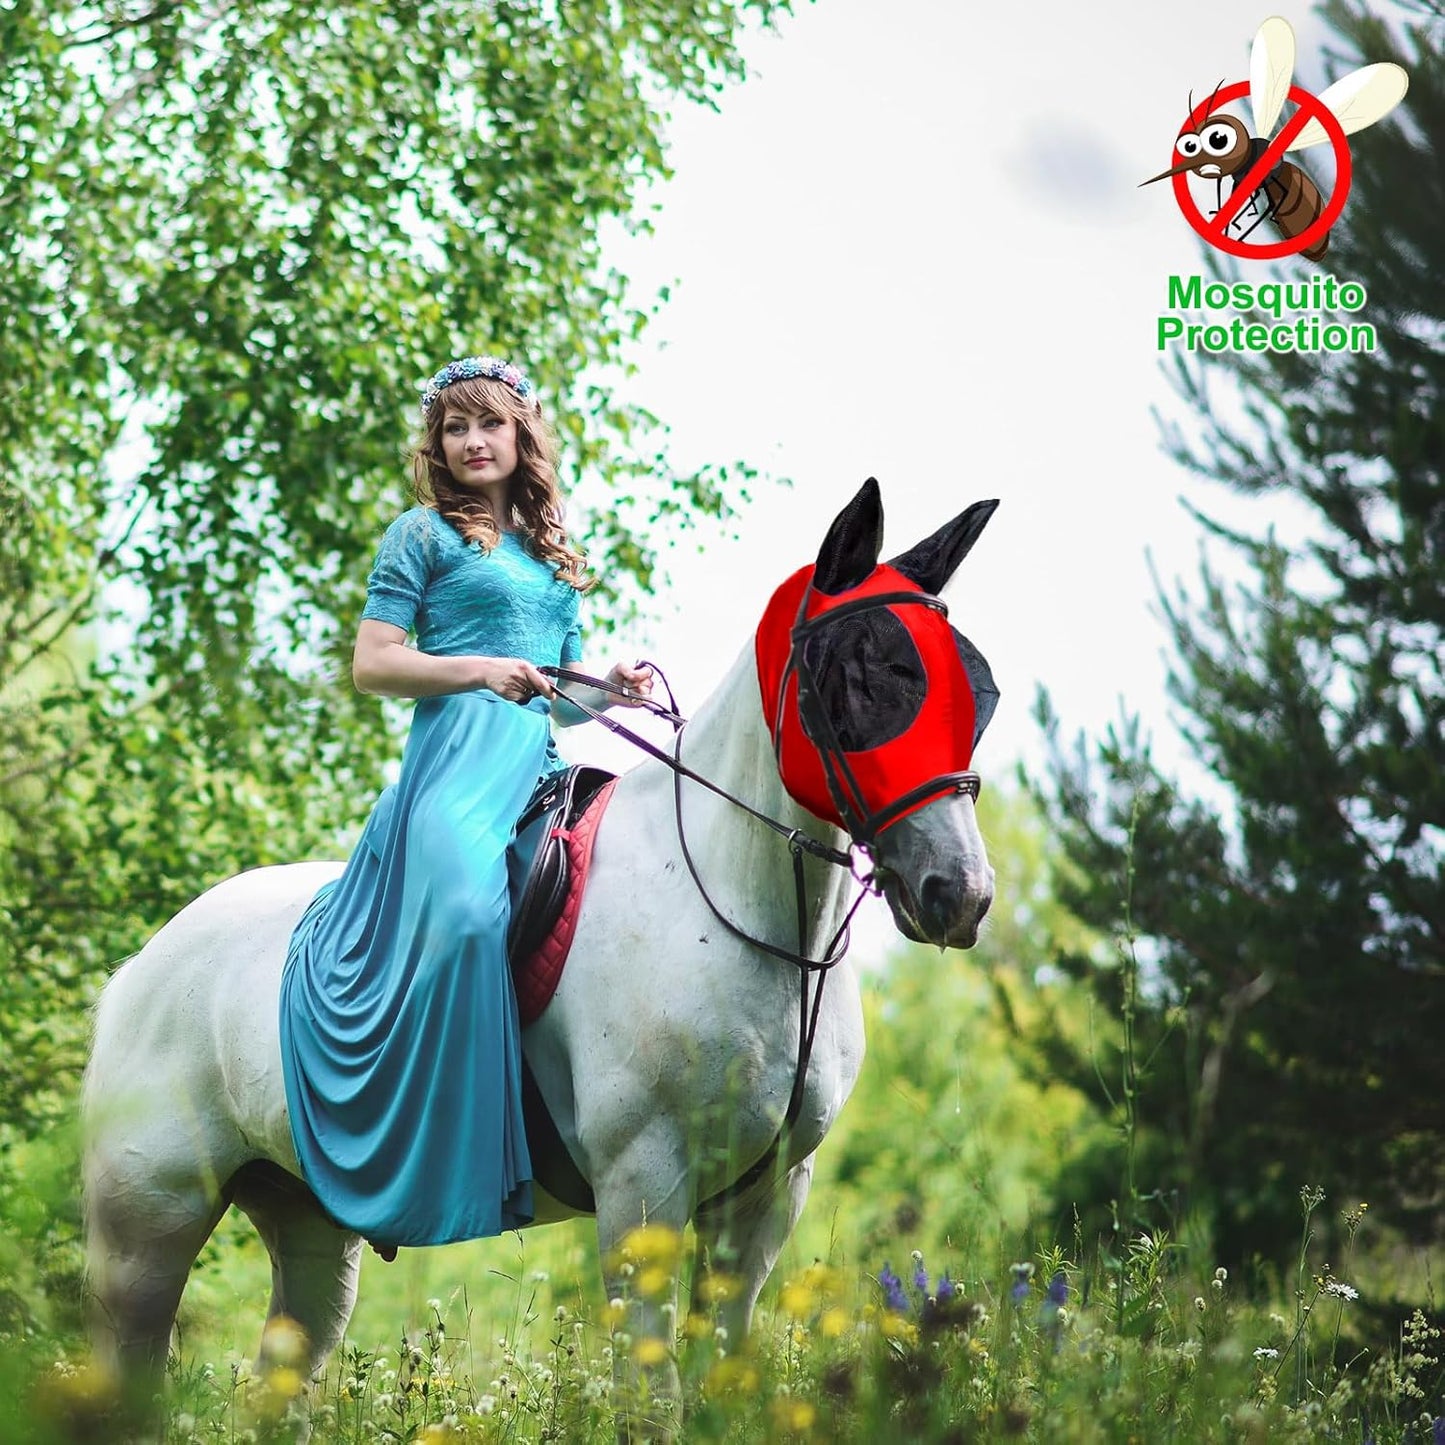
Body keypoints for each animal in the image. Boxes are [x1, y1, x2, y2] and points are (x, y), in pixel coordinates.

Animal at [80, 478, 998, 1435]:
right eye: (859, 676)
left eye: (979, 690)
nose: (959, 893)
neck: (739, 912)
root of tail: (139, 970)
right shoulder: (643, 1187)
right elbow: (650, 1399)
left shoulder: (762, 1201)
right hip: (147, 1229)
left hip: (308, 1228)